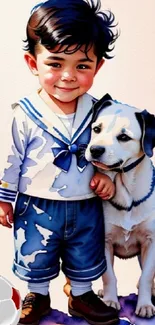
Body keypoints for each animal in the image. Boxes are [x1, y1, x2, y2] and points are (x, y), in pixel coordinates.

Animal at [85, 93, 155, 316]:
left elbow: (146, 276)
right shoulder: (103, 241)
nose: (95, 149)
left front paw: (144, 305)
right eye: (96, 129)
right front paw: (109, 300)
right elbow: (109, 276)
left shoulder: (151, 242)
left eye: (124, 137)